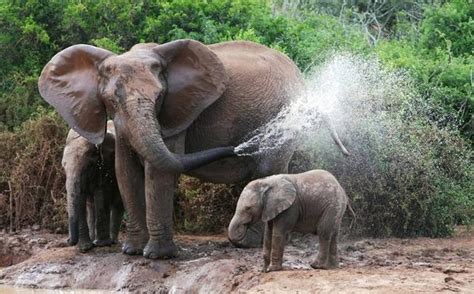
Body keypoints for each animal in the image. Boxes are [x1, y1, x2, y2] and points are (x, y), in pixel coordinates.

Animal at [61, 120, 124, 252]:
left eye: (88, 166)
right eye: (63, 167)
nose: (68, 241)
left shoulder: (105, 165)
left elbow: (100, 194)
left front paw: (101, 244)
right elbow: (81, 198)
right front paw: (85, 248)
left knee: (117, 203)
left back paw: (112, 241)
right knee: (91, 205)